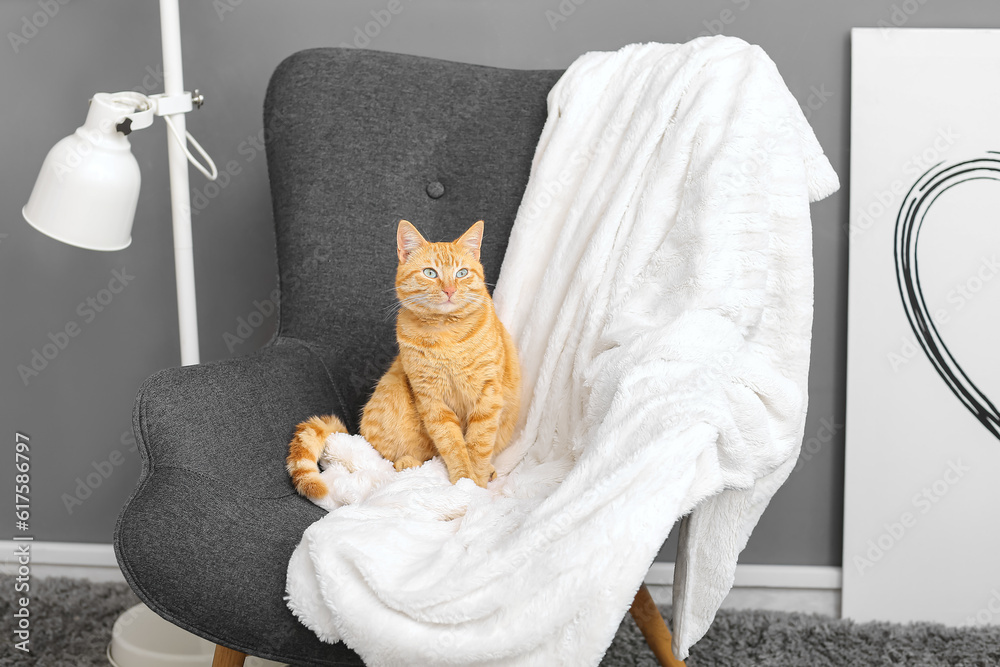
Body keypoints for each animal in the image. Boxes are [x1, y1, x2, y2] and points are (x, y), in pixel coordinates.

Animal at [288, 222, 524, 498]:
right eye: (430, 273)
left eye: (462, 273)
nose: (449, 290)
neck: (446, 333)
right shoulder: (431, 399)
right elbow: (452, 444)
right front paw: (465, 482)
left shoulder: (487, 394)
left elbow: (479, 444)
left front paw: (477, 482)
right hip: (392, 396)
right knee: (388, 457)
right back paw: (408, 462)